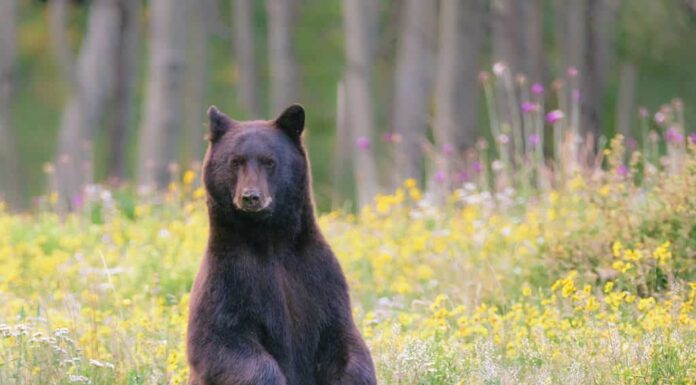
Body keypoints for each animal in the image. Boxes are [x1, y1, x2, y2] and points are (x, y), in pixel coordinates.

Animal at [186, 104, 376, 384]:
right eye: (235, 161)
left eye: (269, 161)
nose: (250, 197)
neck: (270, 241)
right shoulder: (228, 280)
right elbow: (221, 341)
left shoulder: (317, 278)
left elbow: (343, 340)